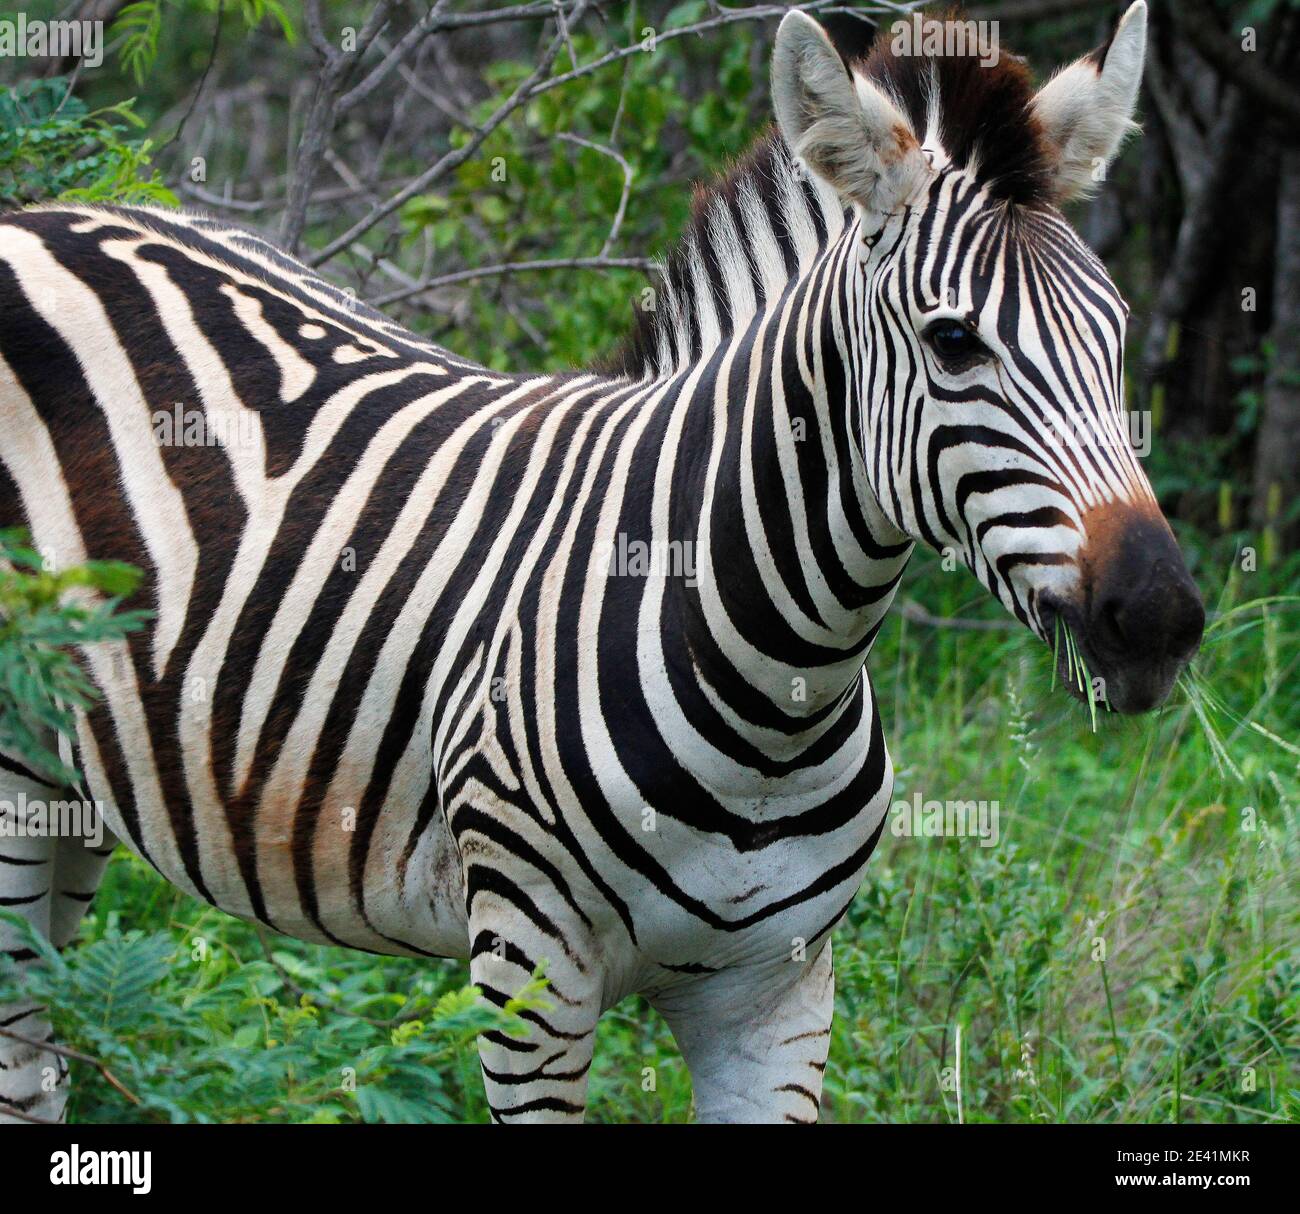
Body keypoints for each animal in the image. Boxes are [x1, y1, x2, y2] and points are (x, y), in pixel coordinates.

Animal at [0, 0, 1201, 1128]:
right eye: (954, 342)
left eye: (1116, 331)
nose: (1160, 617)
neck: (778, 687)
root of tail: (44, 217)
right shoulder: (531, 975)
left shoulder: (779, 995)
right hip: (11, 784)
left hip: (75, 783)